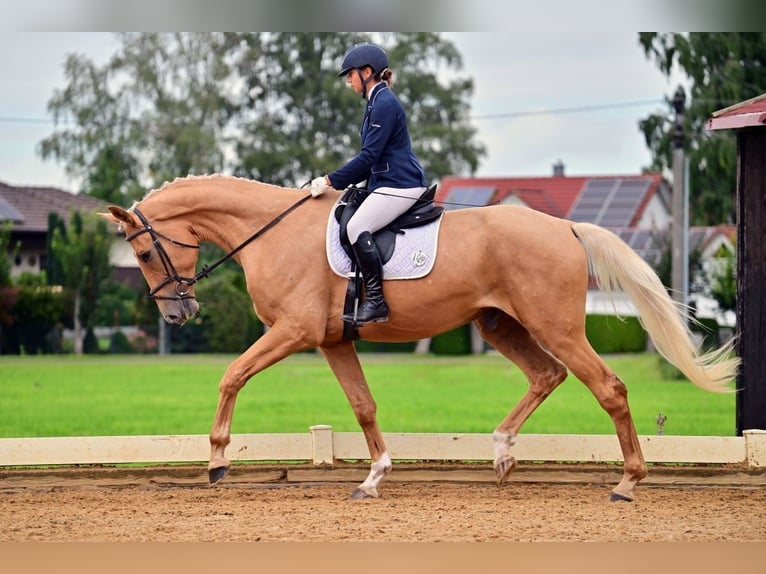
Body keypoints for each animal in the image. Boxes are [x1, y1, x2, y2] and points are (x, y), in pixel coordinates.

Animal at [101, 174, 738, 502]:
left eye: (142, 253)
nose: (178, 314)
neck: (271, 232)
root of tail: (564, 227)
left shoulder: (293, 332)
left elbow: (231, 374)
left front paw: (215, 460)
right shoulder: (331, 341)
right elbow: (362, 405)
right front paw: (375, 475)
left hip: (553, 325)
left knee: (608, 387)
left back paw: (627, 482)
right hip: (498, 323)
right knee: (546, 374)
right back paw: (501, 453)